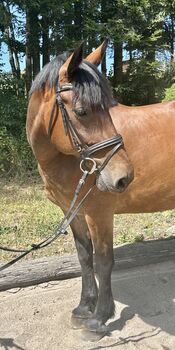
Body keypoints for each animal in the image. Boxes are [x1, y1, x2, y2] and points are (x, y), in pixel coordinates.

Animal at [26, 42, 134, 340]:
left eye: (109, 108)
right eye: (82, 111)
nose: (124, 177)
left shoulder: (100, 213)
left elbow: (103, 261)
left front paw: (99, 319)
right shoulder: (74, 211)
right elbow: (85, 257)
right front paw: (85, 307)